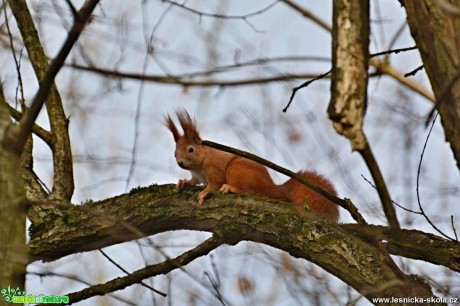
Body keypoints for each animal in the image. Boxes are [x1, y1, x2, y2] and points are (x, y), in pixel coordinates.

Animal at [164, 110, 340, 222]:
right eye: (174, 153)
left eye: (190, 149)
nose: (179, 162)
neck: (200, 165)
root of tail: (271, 187)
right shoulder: (196, 175)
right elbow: (193, 181)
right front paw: (183, 182)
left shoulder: (215, 170)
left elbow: (214, 184)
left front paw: (204, 192)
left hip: (237, 169)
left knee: (251, 191)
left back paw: (231, 188)